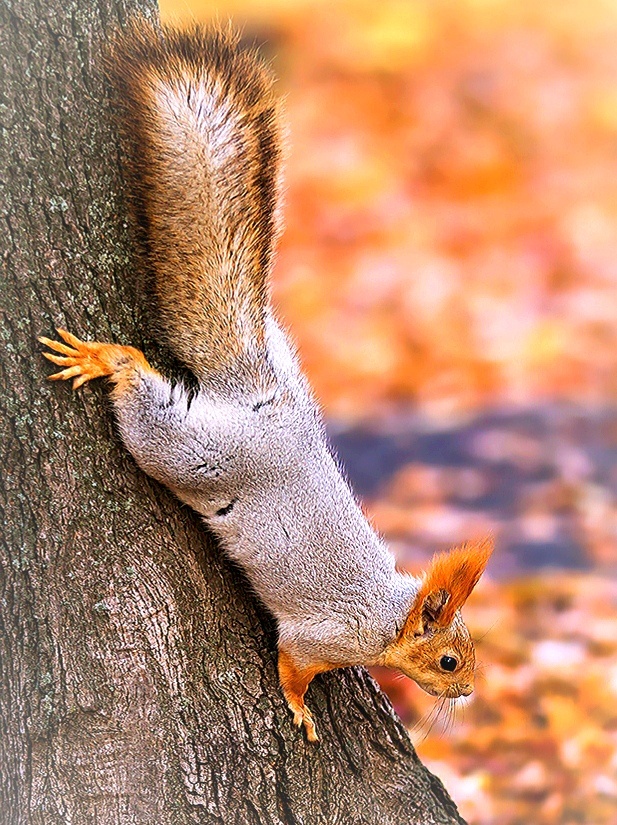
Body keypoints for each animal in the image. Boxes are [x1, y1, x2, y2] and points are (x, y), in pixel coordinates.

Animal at [39, 19, 490, 744]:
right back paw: (108, 360)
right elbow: (293, 664)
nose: (470, 689)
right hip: (192, 451)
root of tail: (258, 393)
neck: (385, 612)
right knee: (144, 401)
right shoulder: (322, 636)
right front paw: (300, 708)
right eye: (448, 660)